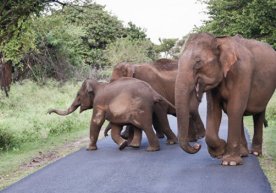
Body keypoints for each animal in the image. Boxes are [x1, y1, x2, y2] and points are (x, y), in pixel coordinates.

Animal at [48, 77, 177, 152]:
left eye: (78, 94)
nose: (48, 112)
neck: (98, 84)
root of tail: (153, 92)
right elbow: (115, 126)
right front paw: (123, 145)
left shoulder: (99, 102)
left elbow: (96, 121)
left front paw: (89, 149)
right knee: (139, 125)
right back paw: (135, 146)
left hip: (141, 108)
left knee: (145, 126)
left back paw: (151, 149)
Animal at [176, 32, 274, 165]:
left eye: (198, 61)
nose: (197, 146)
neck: (218, 40)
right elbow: (214, 110)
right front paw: (220, 152)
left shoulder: (242, 71)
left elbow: (234, 108)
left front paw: (229, 162)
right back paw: (243, 153)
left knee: (258, 113)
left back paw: (255, 153)